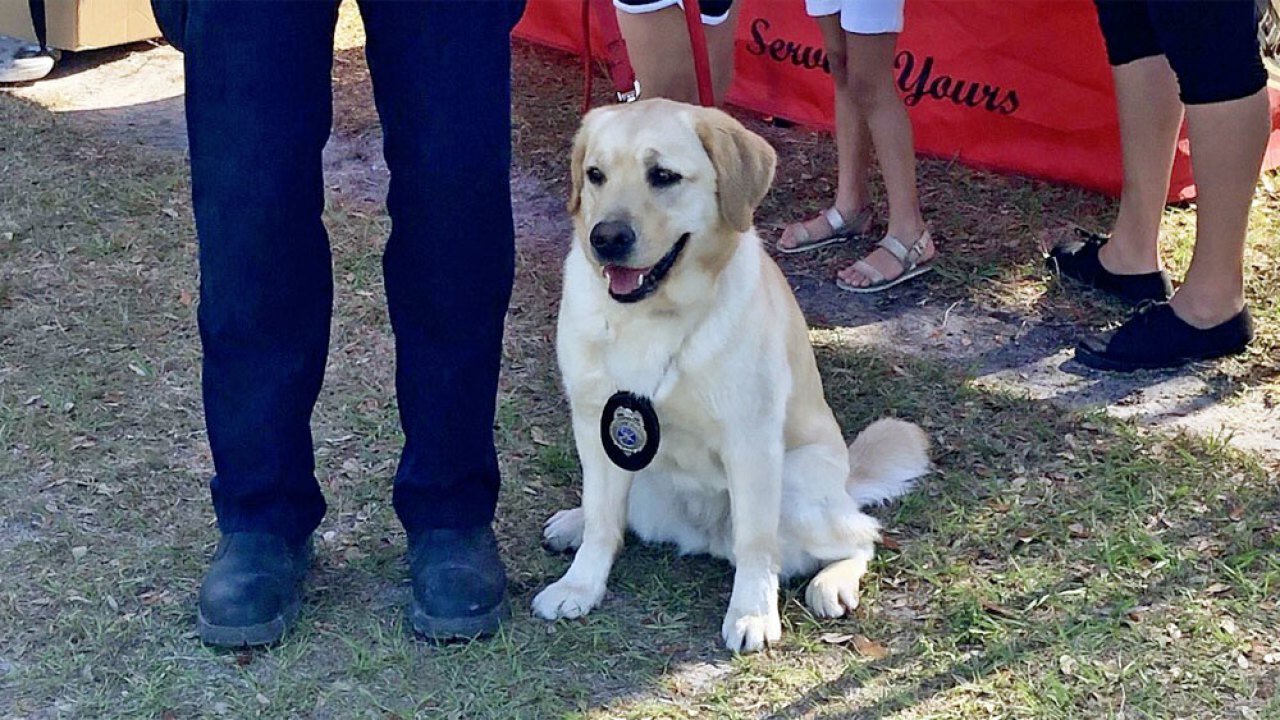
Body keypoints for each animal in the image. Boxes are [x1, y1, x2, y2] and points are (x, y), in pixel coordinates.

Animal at [529, 98, 931, 653]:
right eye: (595, 175)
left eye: (663, 176)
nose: (605, 238)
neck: (653, 317)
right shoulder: (597, 425)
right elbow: (602, 518)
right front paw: (579, 586)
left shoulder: (751, 440)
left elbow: (756, 542)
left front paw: (752, 613)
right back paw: (571, 523)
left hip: (798, 486)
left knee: (860, 534)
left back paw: (833, 583)